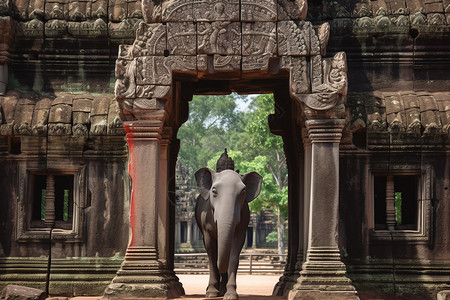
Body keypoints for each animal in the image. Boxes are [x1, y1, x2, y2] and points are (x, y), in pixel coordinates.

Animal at [194, 168, 264, 298]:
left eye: (243, 192)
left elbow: (235, 252)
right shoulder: (205, 223)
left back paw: (222, 290)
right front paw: (211, 293)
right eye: (214, 191)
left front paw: (231, 294)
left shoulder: (243, 221)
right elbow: (211, 252)